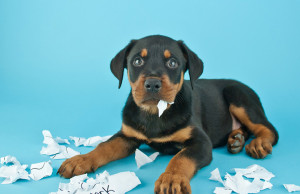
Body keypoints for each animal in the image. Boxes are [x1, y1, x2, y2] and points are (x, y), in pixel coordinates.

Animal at [58, 35, 278, 194]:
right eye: (137, 61)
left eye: (172, 63)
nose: (152, 84)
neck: (155, 113)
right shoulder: (127, 135)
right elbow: (105, 146)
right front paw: (81, 160)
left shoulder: (200, 142)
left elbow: (181, 158)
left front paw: (172, 178)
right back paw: (236, 139)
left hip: (238, 95)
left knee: (269, 129)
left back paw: (258, 143)